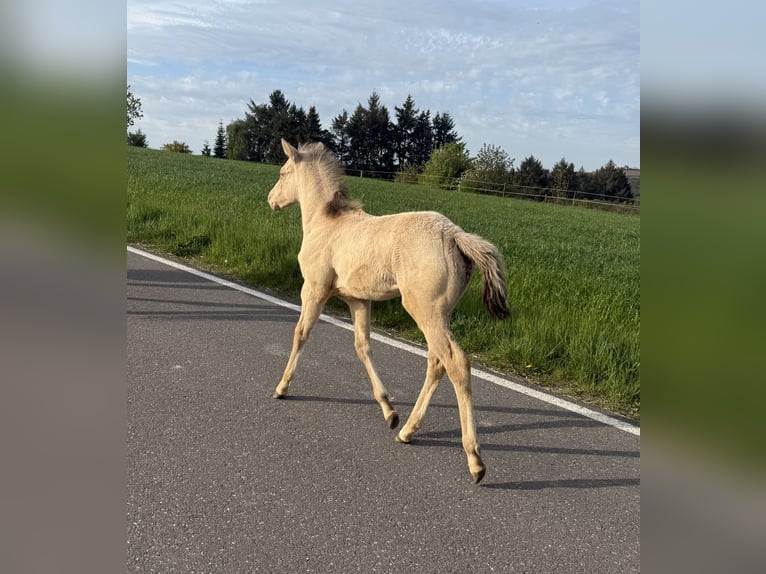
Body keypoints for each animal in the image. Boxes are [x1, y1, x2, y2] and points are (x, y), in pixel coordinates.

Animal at [267, 139, 509, 483]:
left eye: (283, 172)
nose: (271, 200)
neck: (326, 223)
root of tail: (454, 235)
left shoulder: (313, 290)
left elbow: (300, 334)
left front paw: (282, 387)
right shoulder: (358, 300)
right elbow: (362, 346)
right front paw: (389, 412)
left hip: (424, 311)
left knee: (456, 363)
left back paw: (474, 460)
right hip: (440, 314)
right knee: (437, 363)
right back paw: (407, 430)